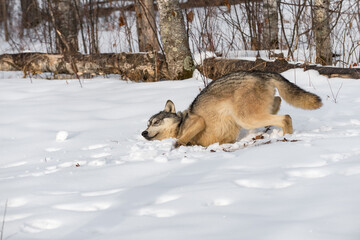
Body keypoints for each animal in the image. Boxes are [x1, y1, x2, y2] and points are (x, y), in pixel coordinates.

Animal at [141, 70, 324, 147]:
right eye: (147, 124)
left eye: (155, 122)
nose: (143, 133)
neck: (181, 124)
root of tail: (262, 72)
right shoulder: (226, 138)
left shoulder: (199, 121)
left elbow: (181, 139)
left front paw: (177, 145)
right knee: (278, 102)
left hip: (245, 118)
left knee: (286, 117)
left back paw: (286, 137)